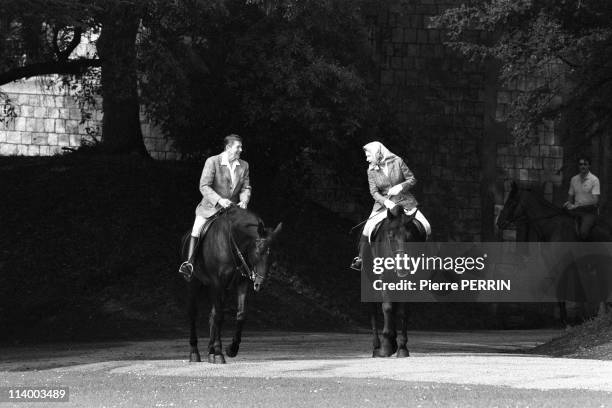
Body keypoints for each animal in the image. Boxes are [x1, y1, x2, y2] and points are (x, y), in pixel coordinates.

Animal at [182, 207, 282, 364]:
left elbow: (240, 314)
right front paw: (219, 353)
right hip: (194, 283)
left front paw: (231, 349)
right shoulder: (217, 283)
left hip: (222, 289)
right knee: (193, 313)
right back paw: (194, 352)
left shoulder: (241, 283)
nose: (259, 284)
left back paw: (211, 352)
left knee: (213, 314)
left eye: (273, 254)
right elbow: (219, 317)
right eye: (258, 251)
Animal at [364, 206, 426, 356]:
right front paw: (385, 347)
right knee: (374, 310)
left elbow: (403, 311)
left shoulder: (410, 282)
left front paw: (402, 348)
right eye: (390, 236)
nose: (402, 268)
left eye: (411, 237)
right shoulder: (383, 280)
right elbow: (387, 308)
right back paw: (377, 346)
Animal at [498, 182, 612, 322]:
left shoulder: (561, 264)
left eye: (512, 202)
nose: (499, 222)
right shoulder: (552, 263)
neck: (552, 227)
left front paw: (566, 321)